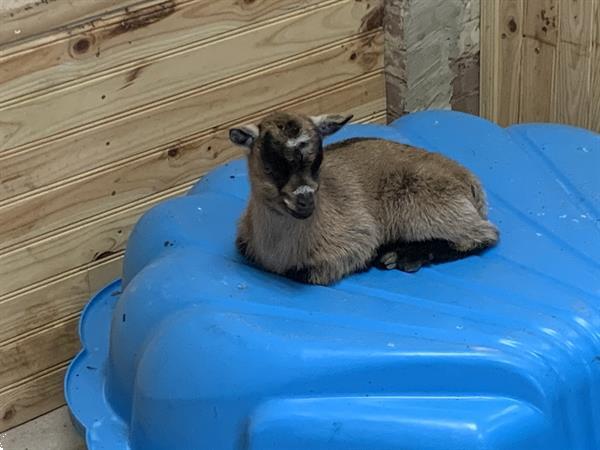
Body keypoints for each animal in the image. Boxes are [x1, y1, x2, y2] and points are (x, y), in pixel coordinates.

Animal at [230, 111, 496, 284]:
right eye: (271, 167)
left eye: (318, 163)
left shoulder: (356, 236)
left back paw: (402, 256)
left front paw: (377, 255)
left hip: (429, 206)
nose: (306, 202)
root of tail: (468, 179)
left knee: (484, 235)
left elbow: (309, 273)